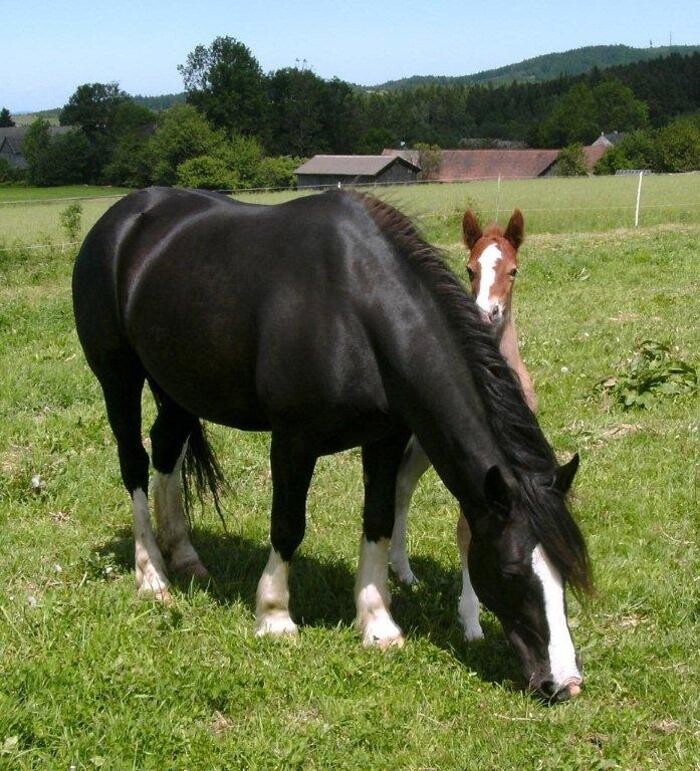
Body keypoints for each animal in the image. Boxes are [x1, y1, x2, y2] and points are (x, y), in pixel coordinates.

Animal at [74, 185, 592, 700]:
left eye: (565, 571)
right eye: (510, 572)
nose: (565, 683)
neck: (355, 308)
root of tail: (122, 218)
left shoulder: (386, 439)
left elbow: (379, 520)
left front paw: (378, 623)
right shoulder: (293, 440)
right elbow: (287, 525)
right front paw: (275, 617)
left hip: (180, 385)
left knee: (166, 450)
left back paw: (183, 555)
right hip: (119, 378)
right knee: (134, 463)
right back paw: (152, 575)